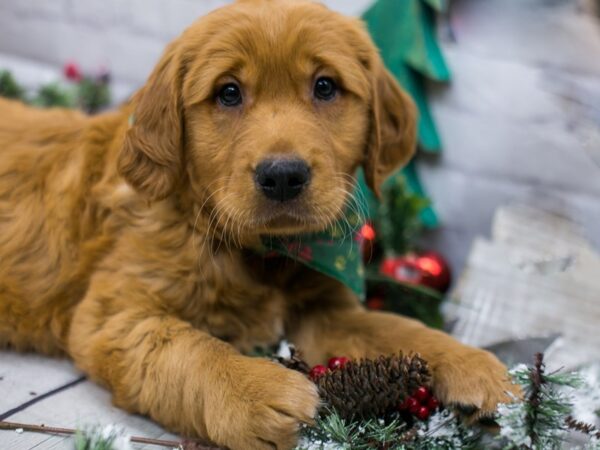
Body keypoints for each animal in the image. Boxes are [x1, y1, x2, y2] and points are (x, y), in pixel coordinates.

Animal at [1, 1, 516, 448]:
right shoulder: (114, 313)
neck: (262, 253)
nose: (283, 175)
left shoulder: (324, 311)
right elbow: (186, 348)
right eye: (229, 92)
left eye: (325, 87)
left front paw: (473, 364)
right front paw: (254, 391)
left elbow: (394, 328)